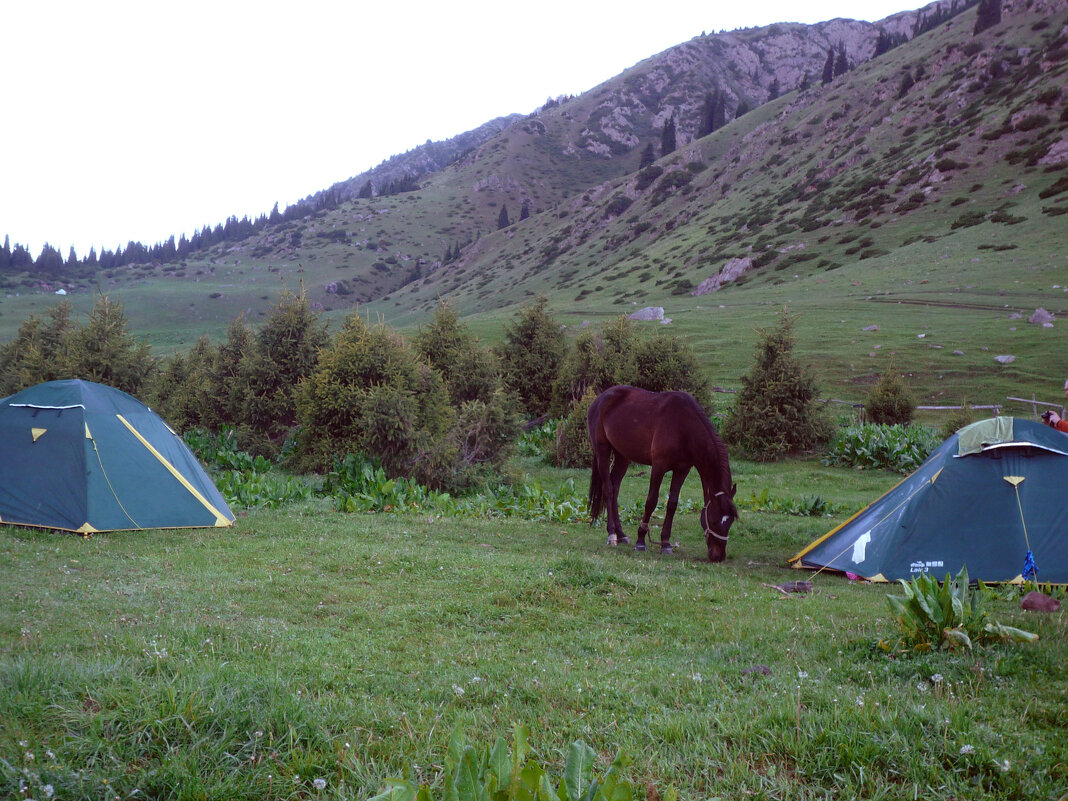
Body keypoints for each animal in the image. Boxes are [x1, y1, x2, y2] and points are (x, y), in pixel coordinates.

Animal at [589, 386, 739, 559]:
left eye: (730, 522)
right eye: (714, 521)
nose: (718, 556)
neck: (683, 425)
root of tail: (600, 399)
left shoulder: (682, 469)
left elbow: (672, 503)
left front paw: (666, 544)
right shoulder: (658, 466)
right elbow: (651, 501)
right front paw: (640, 541)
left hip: (622, 456)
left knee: (615, 489)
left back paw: (621, 534)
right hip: (603, 451)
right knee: (608, 490)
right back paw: (612, 534)